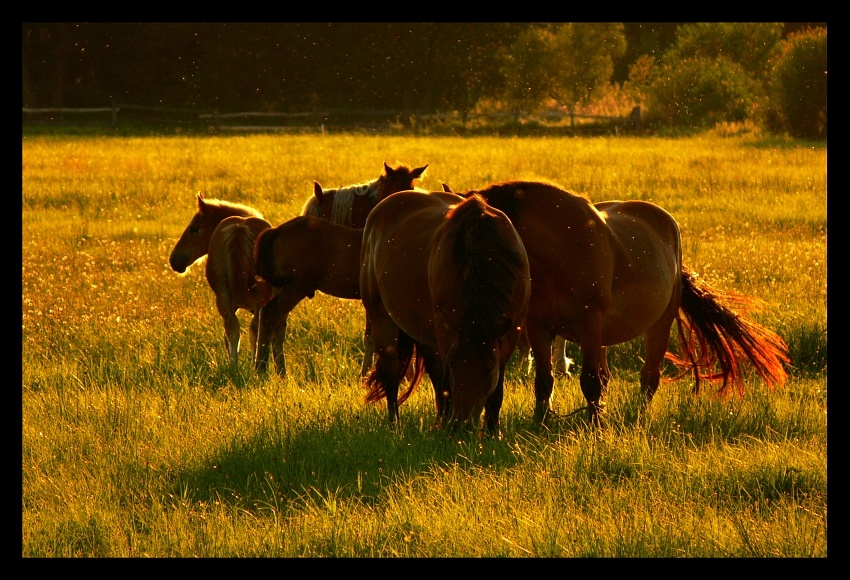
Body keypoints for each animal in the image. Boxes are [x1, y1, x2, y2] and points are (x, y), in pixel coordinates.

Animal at [171, 195, 276, 368]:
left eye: (194, 228)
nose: (174, 260)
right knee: (254, 329)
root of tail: (239, 229)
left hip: (224, 298)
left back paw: (234, 367)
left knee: (233, 328)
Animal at [248, 216, 362, 376]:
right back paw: (262, 369)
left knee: (277, 326)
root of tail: (275, 231)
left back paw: (281, 373)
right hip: (296, 289)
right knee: (268, 315)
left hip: (283, 290)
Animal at [358, 190, 528, 436]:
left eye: (488, 370)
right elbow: (446, 381)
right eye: (455, 367)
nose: (461, 427)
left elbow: (496, 389)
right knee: (392, 374)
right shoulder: (448, 330)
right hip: (382, 318)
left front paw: (493, 432)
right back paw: (396, 424)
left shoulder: (509, 331)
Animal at [458, 181, 788, 426]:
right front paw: (541, 424)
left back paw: (638, 417)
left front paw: (595, 429)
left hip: (660, 323)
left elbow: (589, 381)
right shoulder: (539, 328)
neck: (561, 251)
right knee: (607, 377)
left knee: (649, 377)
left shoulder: (589, 323)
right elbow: (544, 382)